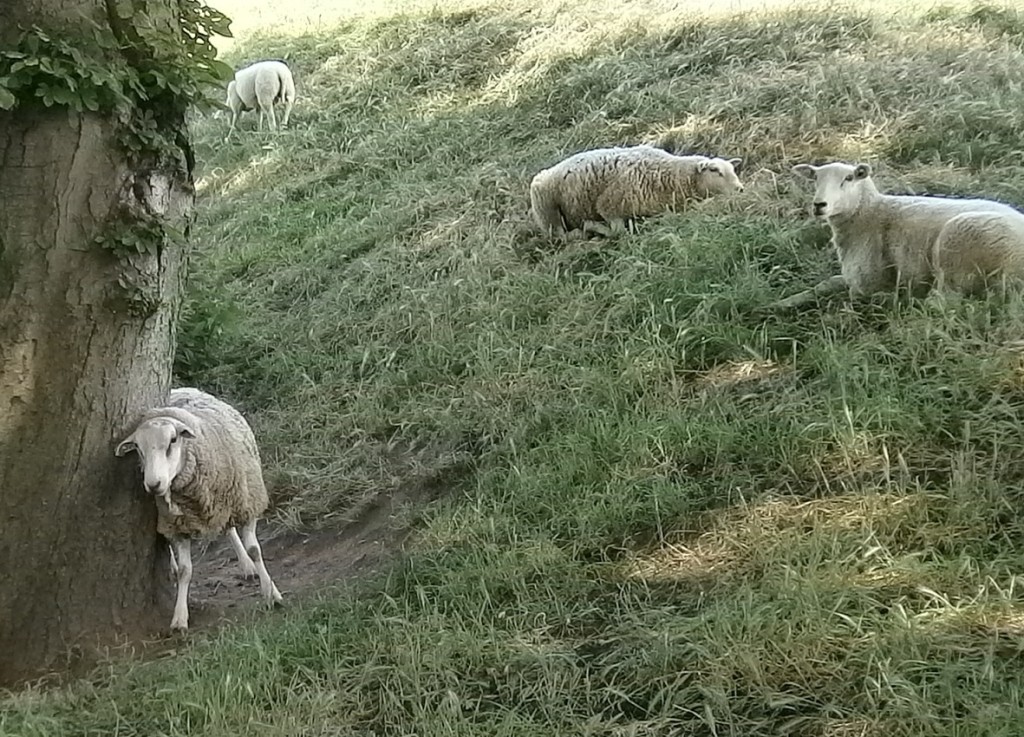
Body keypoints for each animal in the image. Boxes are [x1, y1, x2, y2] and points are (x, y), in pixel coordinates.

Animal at [115, 384, 282, 634]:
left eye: (173, 440)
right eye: (137, 447)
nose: (153, 485)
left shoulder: (246, 504)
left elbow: (255, 550)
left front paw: (271, 593)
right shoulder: (175, 526)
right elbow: (186, 570)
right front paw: (179, 618)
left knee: (229, 529)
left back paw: (246, 565)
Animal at [528, 144, 745, 236]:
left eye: (733, 169)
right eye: (715, 171)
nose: (740, 189)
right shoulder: (609, 206)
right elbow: (617, 232)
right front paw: (593, 226)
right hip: (547, 212)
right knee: (561, 235)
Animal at [770, 159, 1024, 309]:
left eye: (849, 178)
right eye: (815, 179)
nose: (819, 205)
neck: (867, 213)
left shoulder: (866, 280)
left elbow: (853, 293)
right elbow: (825, 283)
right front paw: (781, 303)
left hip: (957, 245)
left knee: (942, 301)